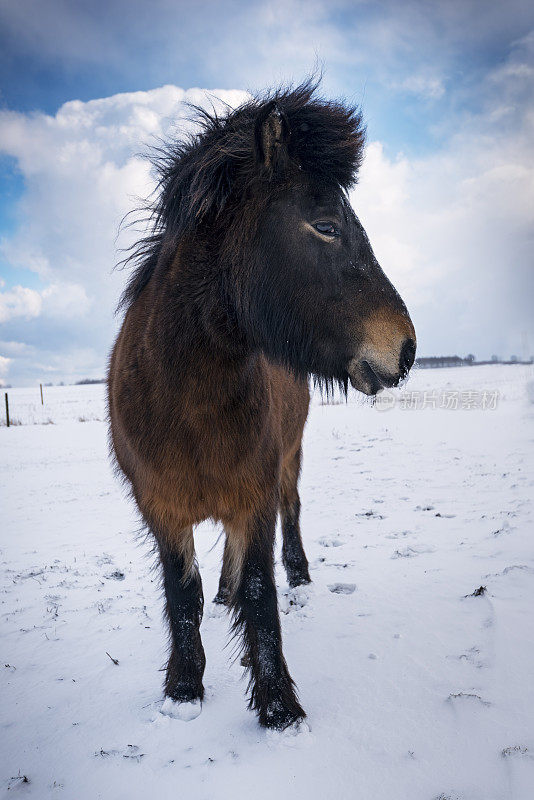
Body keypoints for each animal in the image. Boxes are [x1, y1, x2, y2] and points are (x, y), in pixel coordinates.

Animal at [108, 81, 418, 732]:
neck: (186, 401)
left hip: (286, 461)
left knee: (291, 510)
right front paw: (184, 688)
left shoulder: (255, 492)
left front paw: (278, 707)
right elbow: (183, 594)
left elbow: (260, 590)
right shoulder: (161, 506)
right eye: (325, 225)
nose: (405, 348)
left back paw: (298, 573)